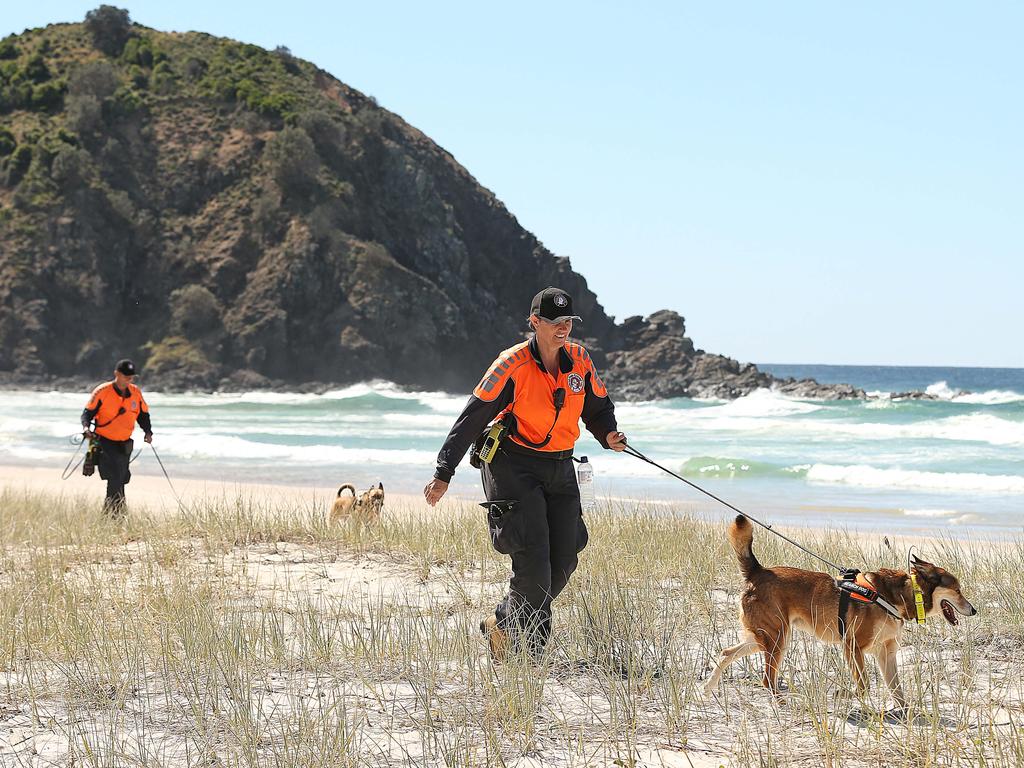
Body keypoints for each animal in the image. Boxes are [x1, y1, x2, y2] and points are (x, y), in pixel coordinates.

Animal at [704, 514, 974, 712]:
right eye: (958, 590)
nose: (973, 610)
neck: (897, 596)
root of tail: (758, 572)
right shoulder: (852, 646)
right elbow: (863, 685)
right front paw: (844, 694)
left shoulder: (886, 653)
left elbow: (897, 691)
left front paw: (908, 714)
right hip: (777, 639)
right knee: (767, 678)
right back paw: (782, 703)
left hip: (765, 637)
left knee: (727, 653)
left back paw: (707, 689)